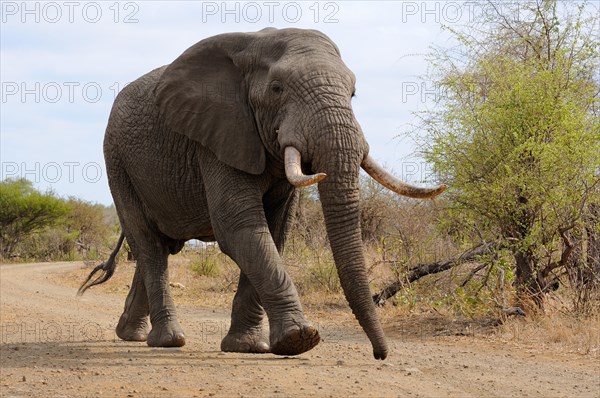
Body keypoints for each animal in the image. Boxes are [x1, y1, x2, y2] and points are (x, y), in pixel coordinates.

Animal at [79, 28, 446, 360]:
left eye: (353, 93)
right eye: (277, 88)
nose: (380, 354)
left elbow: (275, 229)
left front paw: (250, 347)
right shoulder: (217, 135)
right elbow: (239, 227)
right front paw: (300, 340)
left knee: (159, 247)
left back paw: (131, 335)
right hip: (118, 161)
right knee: (150, 245)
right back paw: (168, 340)